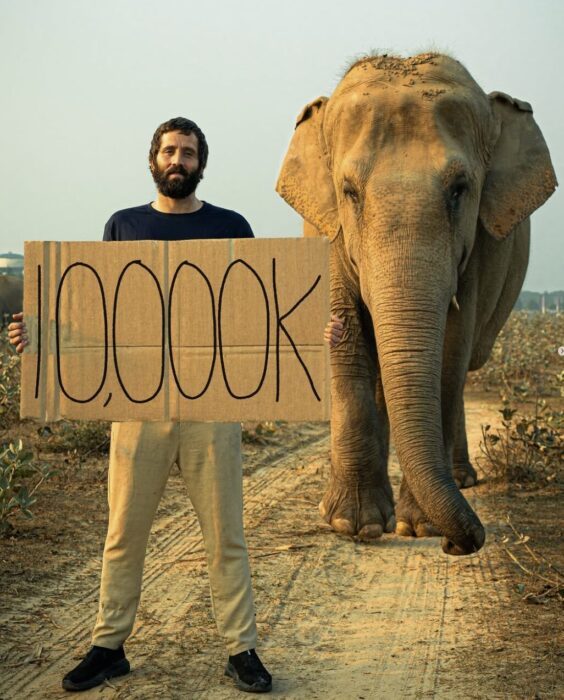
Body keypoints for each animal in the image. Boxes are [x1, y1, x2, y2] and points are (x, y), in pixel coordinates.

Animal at [276, 53, 556, 556]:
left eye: (460, 189)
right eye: (349, 192)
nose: (459, 544)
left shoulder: (477, 247)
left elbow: (450, 348)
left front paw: (418, 527)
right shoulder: (328, 230)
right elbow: (348, 340)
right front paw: (355, 525)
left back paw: (461, 481)